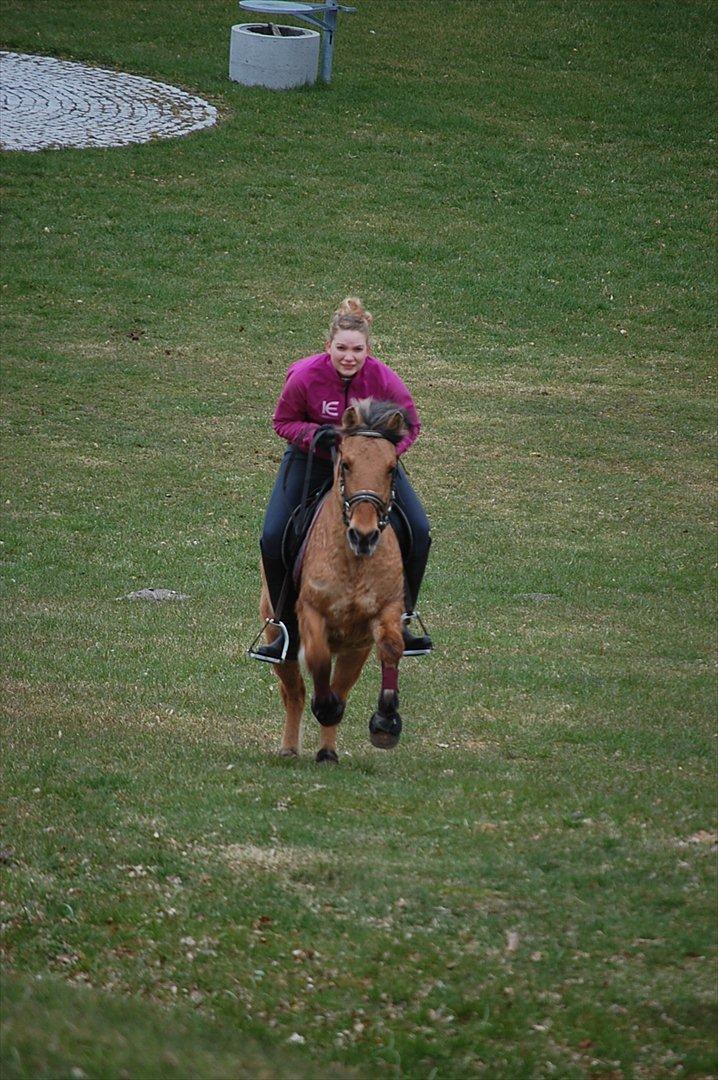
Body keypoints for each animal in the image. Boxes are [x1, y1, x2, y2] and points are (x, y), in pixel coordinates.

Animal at [254, 397, 408, 760]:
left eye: (391, 468)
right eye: (346, 464)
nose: (364, 535)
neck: (354, 563)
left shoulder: (384, 612)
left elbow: (391, 648)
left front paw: (386, 722)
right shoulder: (310, 612)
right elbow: (317, 658)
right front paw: (323, 706)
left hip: (355, 650)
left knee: (342, 688)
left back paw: (327, 751)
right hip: (276, 632)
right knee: (294, 691)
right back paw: (290, 747)